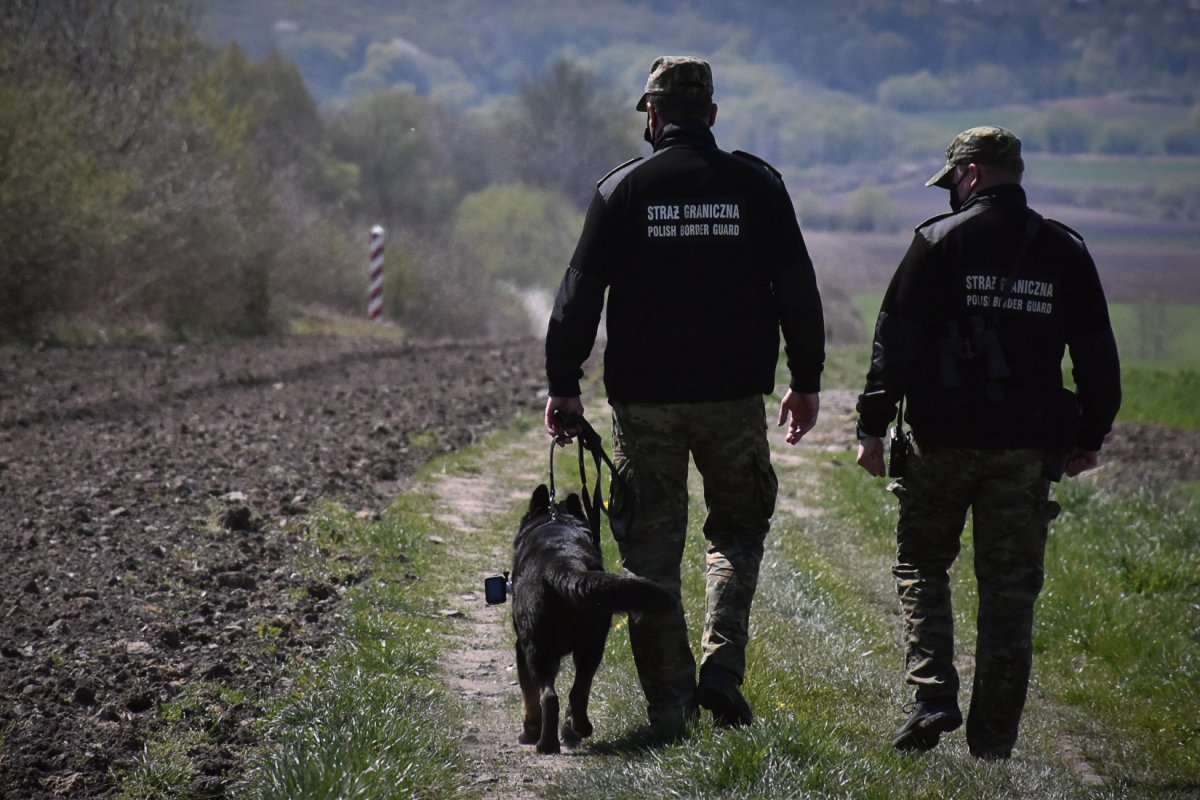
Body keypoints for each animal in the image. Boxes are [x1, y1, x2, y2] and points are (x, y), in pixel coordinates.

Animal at [511, 484, 676, 753]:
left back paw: (546, 744)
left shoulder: (520, 648)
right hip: (592, 647)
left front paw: (529, 732)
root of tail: (562, 565)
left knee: (548, 696)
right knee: (578, 692)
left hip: (537, 649)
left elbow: (529, 697)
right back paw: (577, 729)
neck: (556, 524)